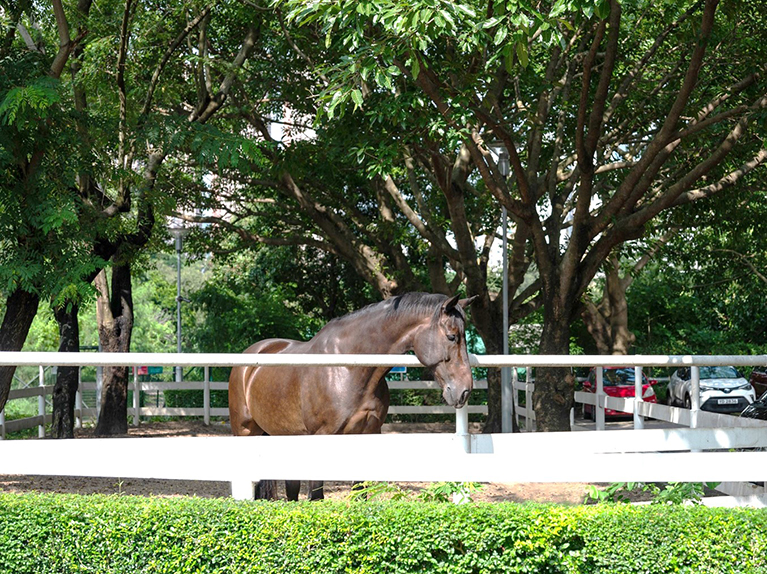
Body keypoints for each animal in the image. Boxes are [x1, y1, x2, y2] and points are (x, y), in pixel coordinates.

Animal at [228, 292, 476, 500]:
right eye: (452, 336)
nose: (464, 390)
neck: (350, 366)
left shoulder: (368, 434)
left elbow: (360, 493)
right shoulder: (321, 437)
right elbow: (316, 496)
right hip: (245, 431)